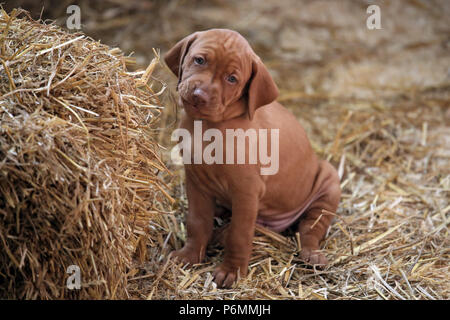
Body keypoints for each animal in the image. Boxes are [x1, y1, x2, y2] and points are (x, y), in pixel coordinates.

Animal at [165, 29, 342, 288]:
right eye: (199, 60)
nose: (199, 96)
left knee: (309, 229)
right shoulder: (196, 180)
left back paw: (312, 254)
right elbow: (197, 222)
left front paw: (231, 271)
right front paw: (189, 255)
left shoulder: (246, 191)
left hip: (327, 181)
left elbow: (239, 235)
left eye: (232, 79)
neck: (209, 126)